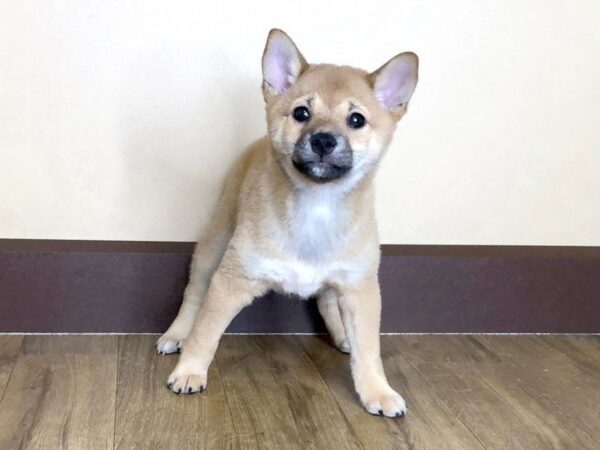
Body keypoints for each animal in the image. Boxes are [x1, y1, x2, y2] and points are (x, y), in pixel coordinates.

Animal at [156, 27, 418, 414]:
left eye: (356, 120)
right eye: (301, 113)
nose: (323, 140)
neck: (316, 204)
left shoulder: (360, 289)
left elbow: (370, 349)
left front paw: (377, 390)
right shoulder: (232, 281)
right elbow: (206, 333)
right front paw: (189, 371)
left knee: (326, 299)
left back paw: (343, 336)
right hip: (213, 247)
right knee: (193, 295)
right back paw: (176, 334)